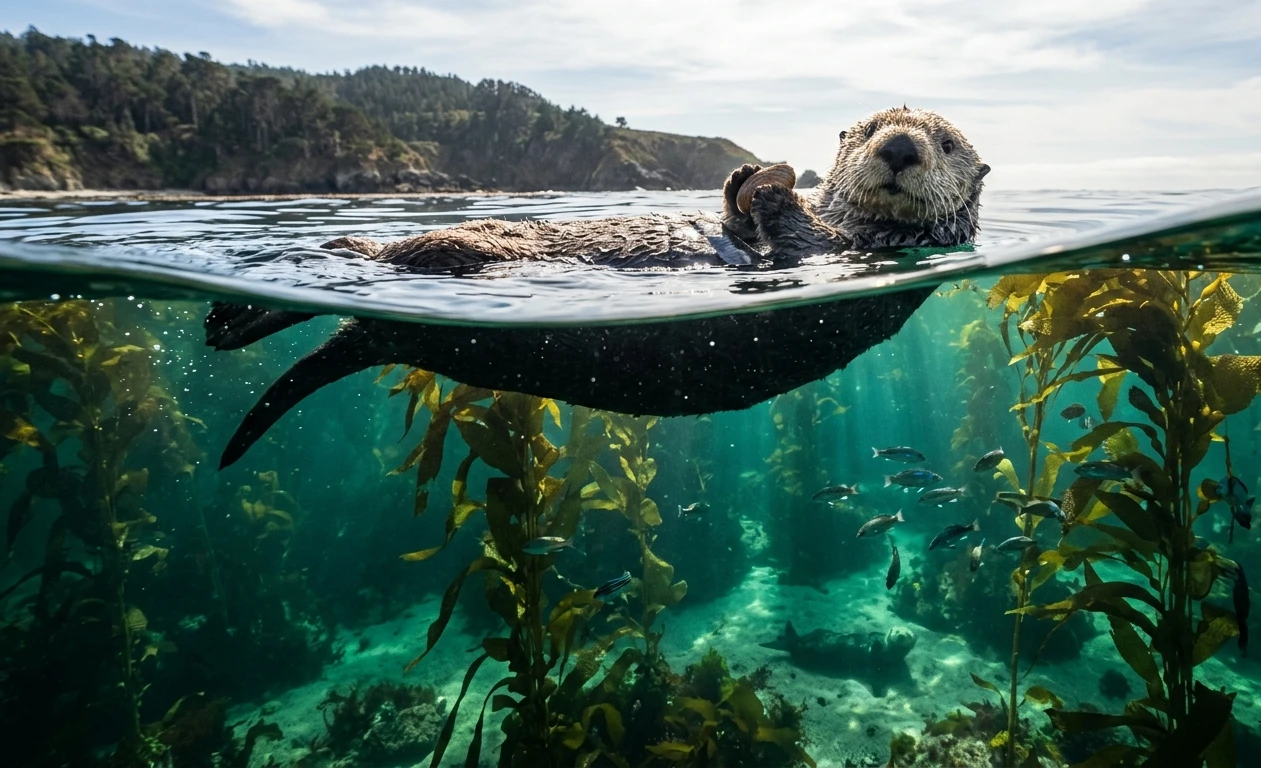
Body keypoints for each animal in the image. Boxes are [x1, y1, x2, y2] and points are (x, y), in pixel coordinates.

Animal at [210, 107, 988, 468]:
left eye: (947, 143)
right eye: (870, 127)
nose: (899, 147)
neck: (860, 233)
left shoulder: (841, 253)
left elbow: (792, 236)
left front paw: (770, 185)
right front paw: (747, 178)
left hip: (458, 255)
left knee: (383, 257)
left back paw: (233, 313)